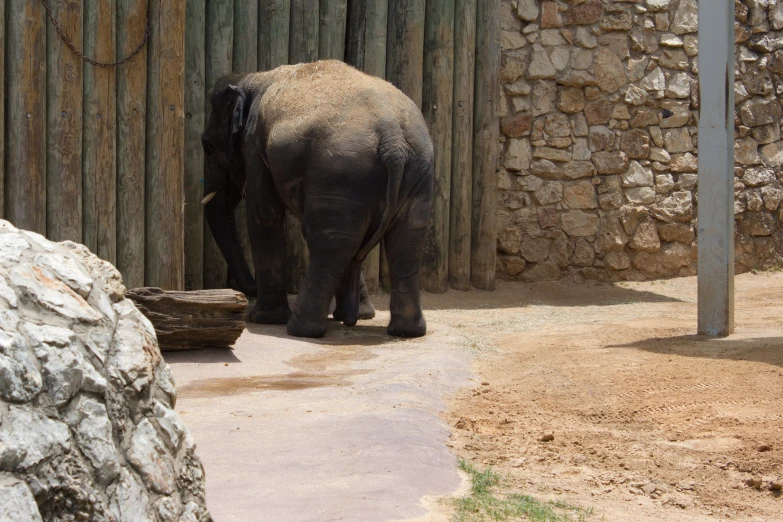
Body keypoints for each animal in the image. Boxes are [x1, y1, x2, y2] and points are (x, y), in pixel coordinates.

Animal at [199, 60, 434, 338]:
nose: (248, 292)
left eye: (208, 147)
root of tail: (393, 140)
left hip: (342, 170)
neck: (252, 78)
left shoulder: (254, 144)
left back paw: (301, 329)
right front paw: (359, 315)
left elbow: (264, 215)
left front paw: (263, 319)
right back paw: (405, 331)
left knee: (330, 242)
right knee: (404, 241)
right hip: (416, 172)